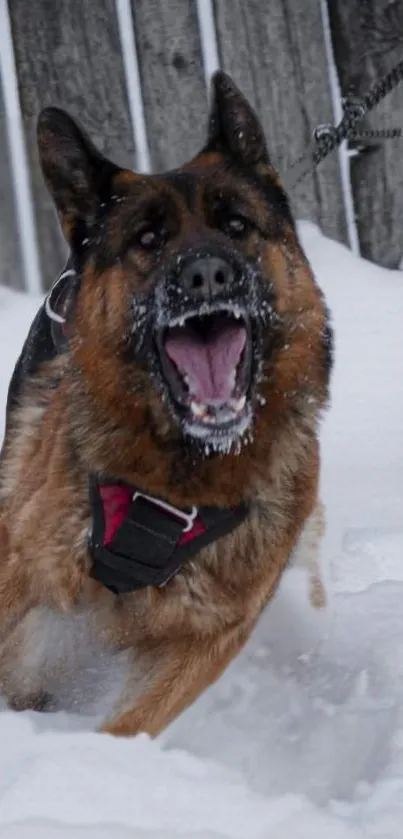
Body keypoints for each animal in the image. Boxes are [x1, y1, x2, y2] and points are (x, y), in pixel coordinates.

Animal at [0, 75, 332, 740]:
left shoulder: (205, 640)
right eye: (147, 240)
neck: (180, 474)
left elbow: (130, 724)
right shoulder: (21, 572)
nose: (208, 274)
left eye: (236, 224)